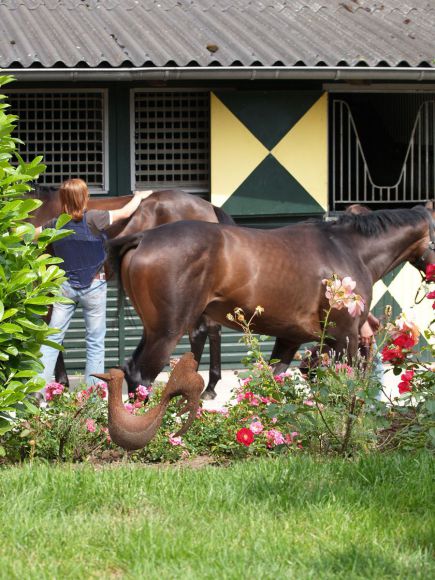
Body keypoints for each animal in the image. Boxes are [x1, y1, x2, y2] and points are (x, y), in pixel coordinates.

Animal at [109, 204, 435, 390]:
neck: (347, 248)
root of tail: (144, 236)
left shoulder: (293, 338)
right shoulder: (345, 336)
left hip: (153, 329)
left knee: (132, 372)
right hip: (167, 331)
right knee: (142, 377)